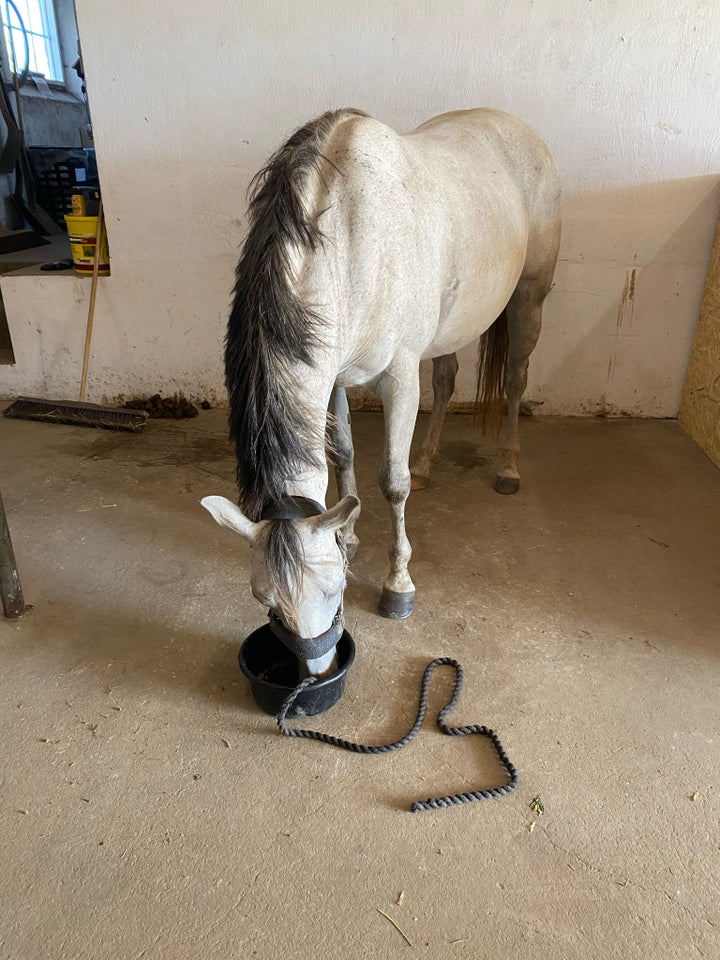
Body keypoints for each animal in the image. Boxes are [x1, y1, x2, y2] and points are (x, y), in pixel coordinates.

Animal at [202, 109, 564, 680]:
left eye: (334, 588)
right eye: (264, 600)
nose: (319, 671)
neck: (351, 237)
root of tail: (516, 127)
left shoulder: (398, 377)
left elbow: (392, 483)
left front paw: (398, 585)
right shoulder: (332, 374)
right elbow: (345, 454)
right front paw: (348, 534)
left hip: (528, 302)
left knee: (514, 382)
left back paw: (508, 467)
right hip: (446, 334)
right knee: (446, 381)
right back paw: (430, 461)